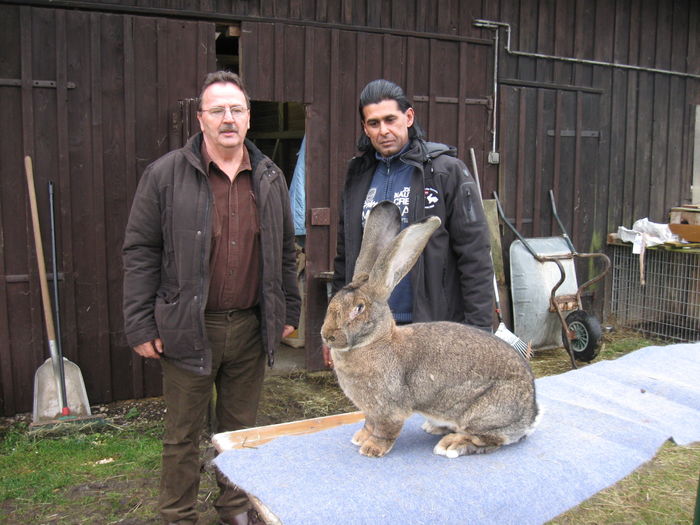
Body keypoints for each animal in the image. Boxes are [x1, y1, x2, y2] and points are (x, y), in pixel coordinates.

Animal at [320, 203, 540, 456]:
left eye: (359, 308)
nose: (327, 335)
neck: (377, 341)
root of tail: (531, 414)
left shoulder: (388, 409)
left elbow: (385, 429)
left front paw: (372, 449)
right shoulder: (371, 411)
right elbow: (368, 423)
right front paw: (360, 437)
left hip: (485, 413)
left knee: (488, 438)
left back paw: (451, 444)